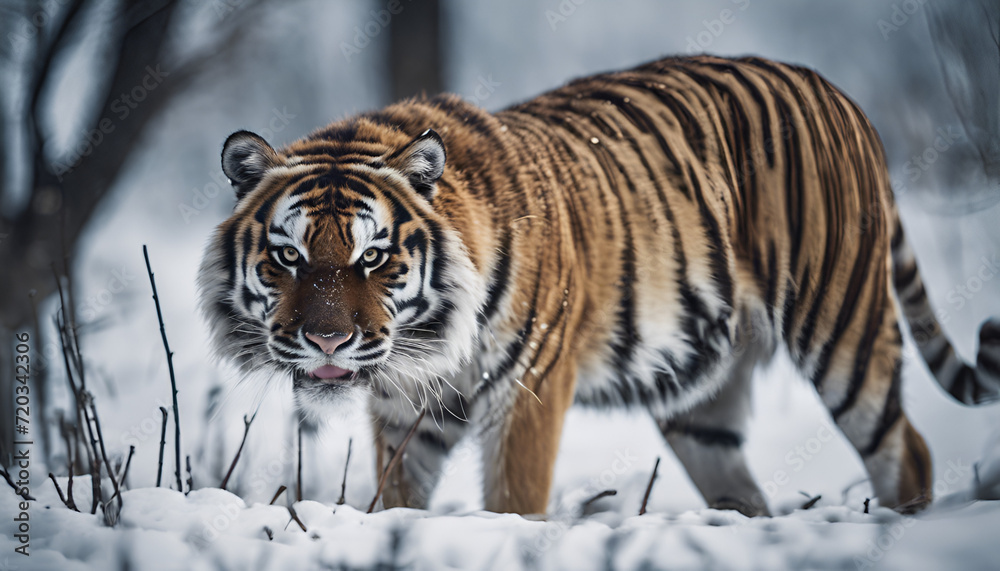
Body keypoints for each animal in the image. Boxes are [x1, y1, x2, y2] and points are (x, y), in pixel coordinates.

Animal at [198, 54, 1000, 517]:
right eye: (288, 257)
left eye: (372, 257)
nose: (327, 339)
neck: (428, 344)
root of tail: (835, 91)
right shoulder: (404, 412)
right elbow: (398, 499)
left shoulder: (529, 384)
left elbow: (515, 499)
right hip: (699, 395)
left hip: (842, 329)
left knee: (906, 447)